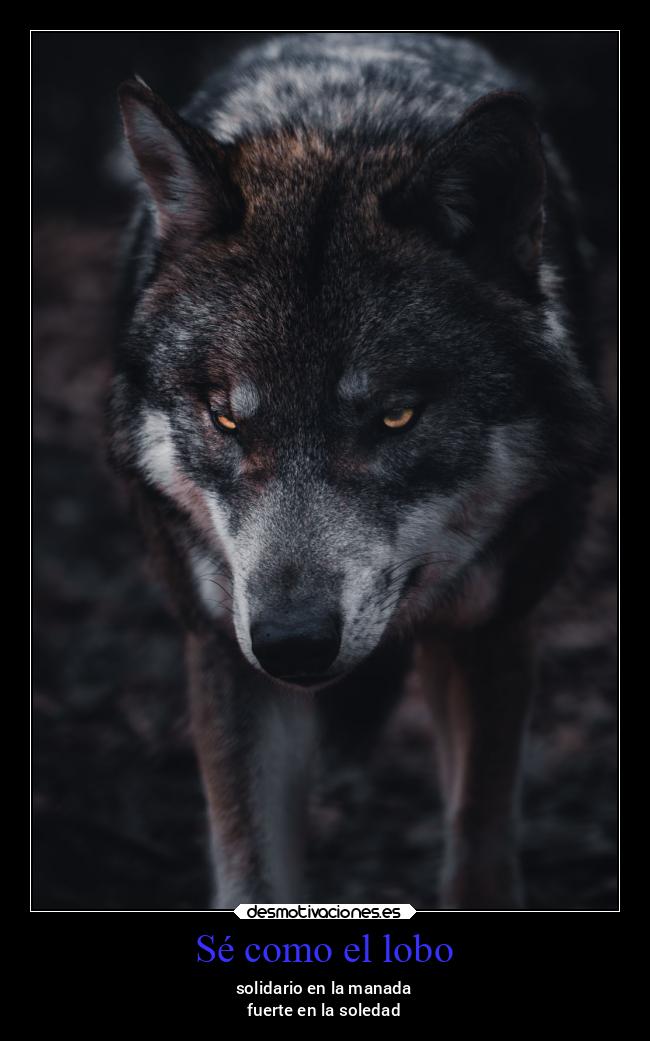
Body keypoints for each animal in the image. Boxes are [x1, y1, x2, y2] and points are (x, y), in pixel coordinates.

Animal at [109, 32, 606, 909]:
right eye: (227, 418)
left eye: (395, 417)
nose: (291, 643)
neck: (340, 126)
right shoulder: (224, 648)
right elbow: (252, 870)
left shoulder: (496, 628)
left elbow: (479, 846)